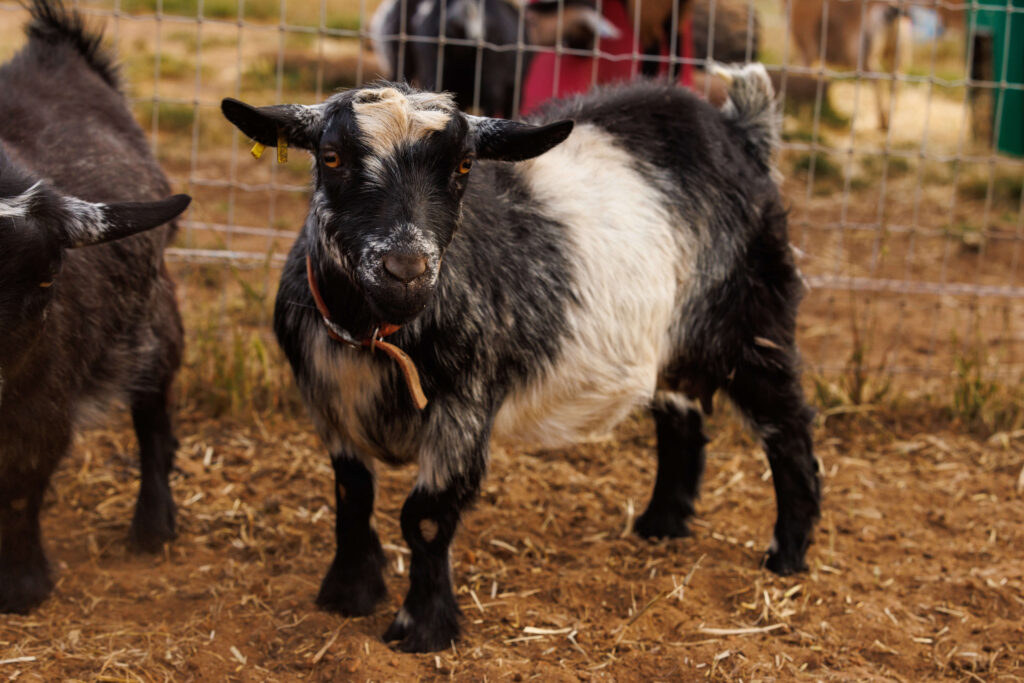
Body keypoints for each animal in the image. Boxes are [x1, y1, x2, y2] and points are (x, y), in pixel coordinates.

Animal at [0, 0, 190, 610]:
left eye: (45, 279)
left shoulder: (37, 414)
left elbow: (20, 491)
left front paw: (23, 587)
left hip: (154, 324)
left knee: (152, 413)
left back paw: (154, 524)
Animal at [222, 62, 815, 651]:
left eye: (464, 165)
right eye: (331, 157)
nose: (405, 269)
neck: (378, 335)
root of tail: (740, 130)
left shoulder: (464, 406)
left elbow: (426, 518)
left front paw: (423, 627)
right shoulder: (328, 402)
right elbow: (353, 494)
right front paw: (348, 594)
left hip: (753, 324)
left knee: (787, 430)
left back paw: (787, 553)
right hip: (671, 341)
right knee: (682, 422)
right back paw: (661, 525)